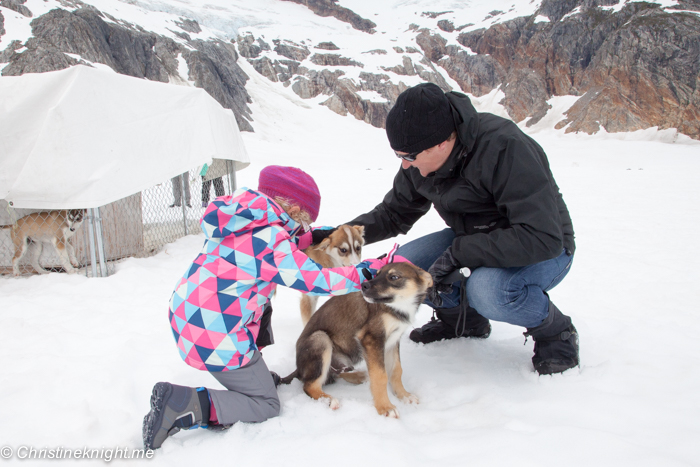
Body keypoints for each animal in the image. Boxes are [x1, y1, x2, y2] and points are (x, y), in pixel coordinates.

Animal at [280, 262, 432, 418]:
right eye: (377, 274)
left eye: (394, 277)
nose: (364, 285)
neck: (397, 307)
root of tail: (298, 369)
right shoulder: (371, 339)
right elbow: (380, 376)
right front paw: (385, 407)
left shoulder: (393, 341)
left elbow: (396, 370)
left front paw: (404, 395)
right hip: (320, 339)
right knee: (309, 385)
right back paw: (328, 400)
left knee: (336, 374)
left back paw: (360, 375)